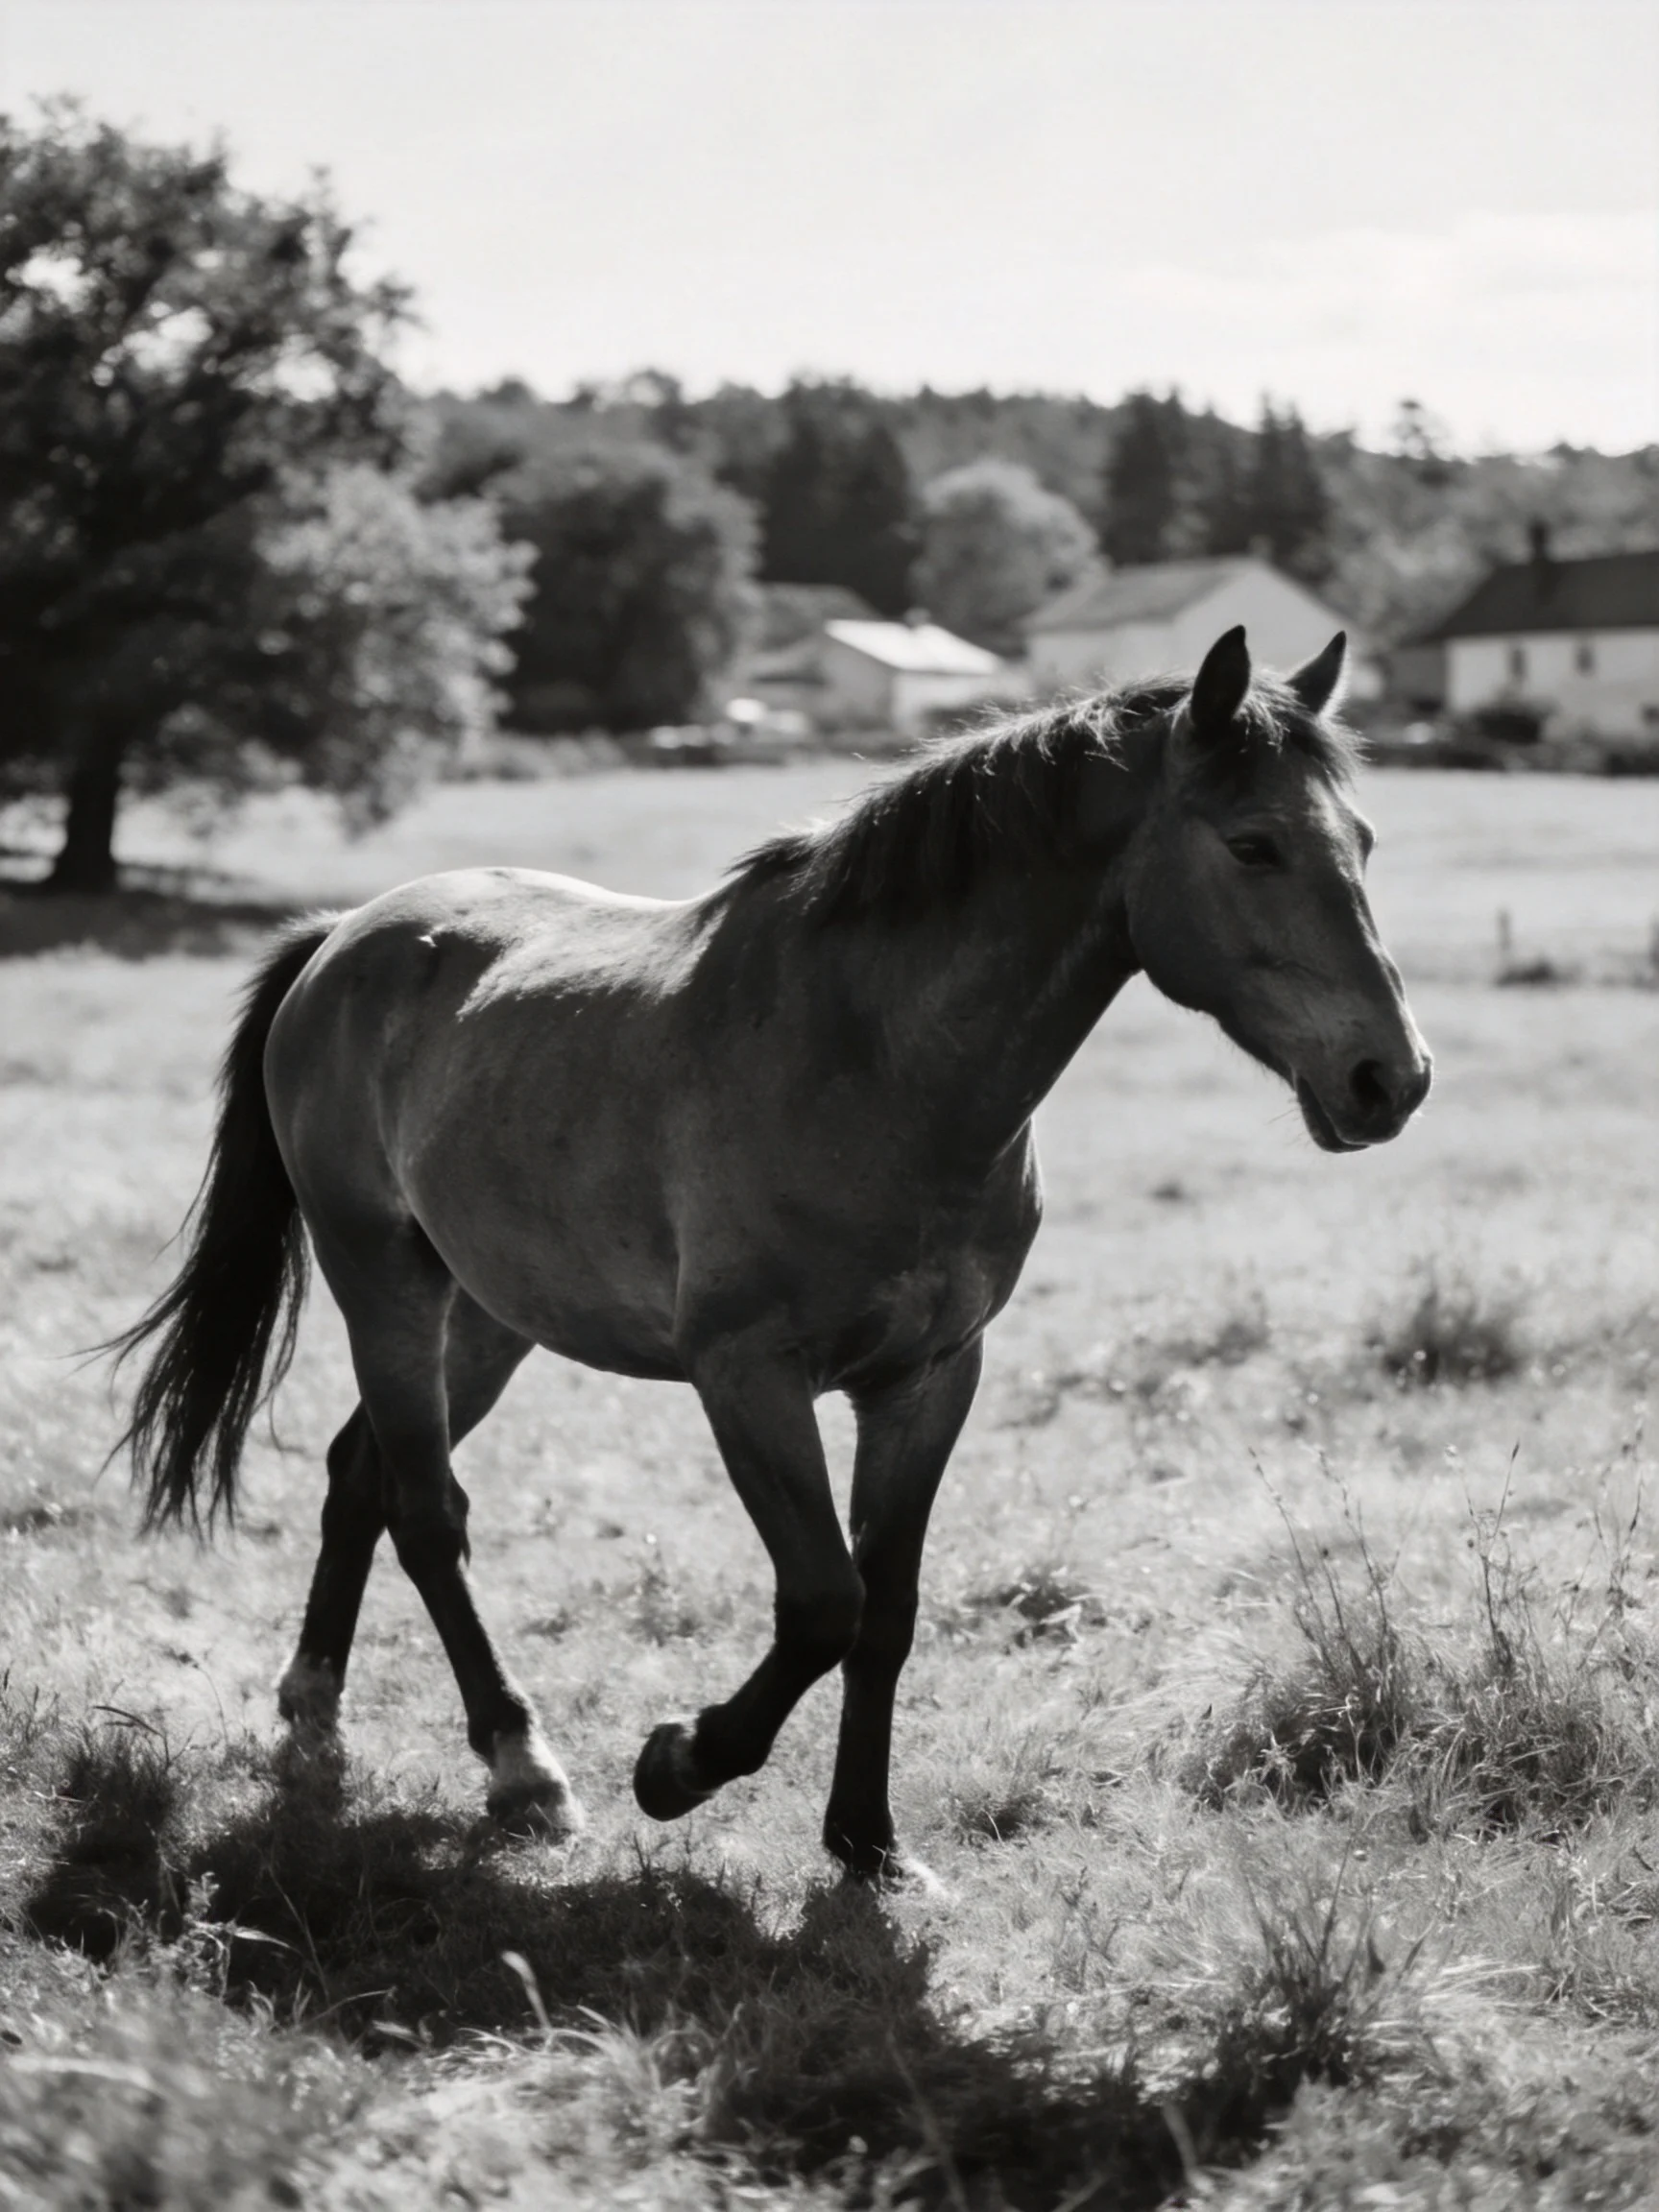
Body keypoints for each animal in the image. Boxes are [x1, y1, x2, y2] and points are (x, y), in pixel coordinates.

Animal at [112, 626, 1431, 1880]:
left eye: (1366, 840)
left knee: (362, 1478)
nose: (1391, 1078)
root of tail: (347, 937)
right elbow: (823, 1603)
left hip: (488, 1314)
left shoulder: (930, 1380)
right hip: (380, 1277)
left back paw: (315, 1718)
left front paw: (868, 1845)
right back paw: (522, 1768)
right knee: (427, 1510)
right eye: (1254, 845)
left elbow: (887, 1612)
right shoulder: (747, 1378)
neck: (875, 1063)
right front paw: (679, 1765)